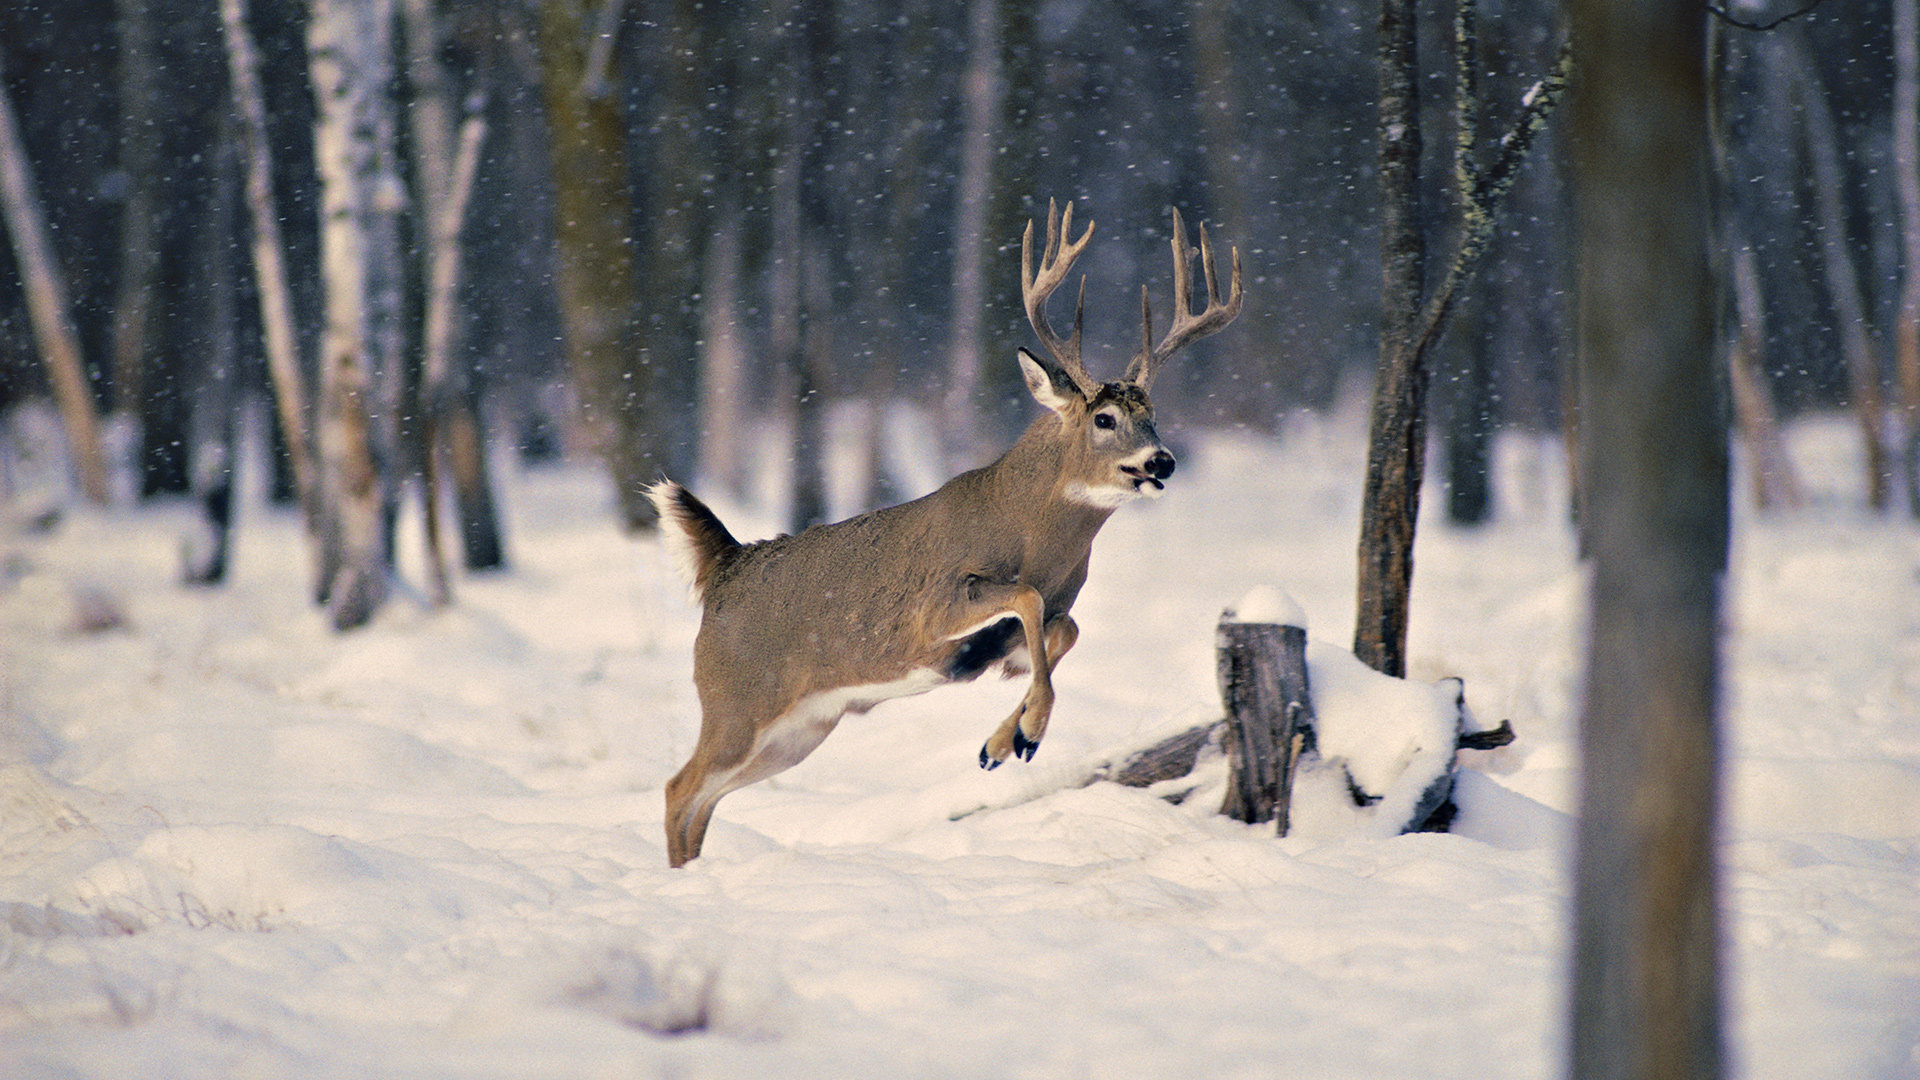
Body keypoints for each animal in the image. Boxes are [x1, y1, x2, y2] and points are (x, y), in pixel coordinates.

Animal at [648, 197, 1244, 860]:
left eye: (1154, 415)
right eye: (1105, 418)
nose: (1162, 460)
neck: (1030, 533)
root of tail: (726, 564)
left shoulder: (1032, 626)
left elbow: (1065, 628)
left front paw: (1003, 742)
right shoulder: (932, 613)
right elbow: (1027, 598)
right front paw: (1028, 731)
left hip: (801, 728)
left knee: (704, 799)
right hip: (736, 701)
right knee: (678, 789)